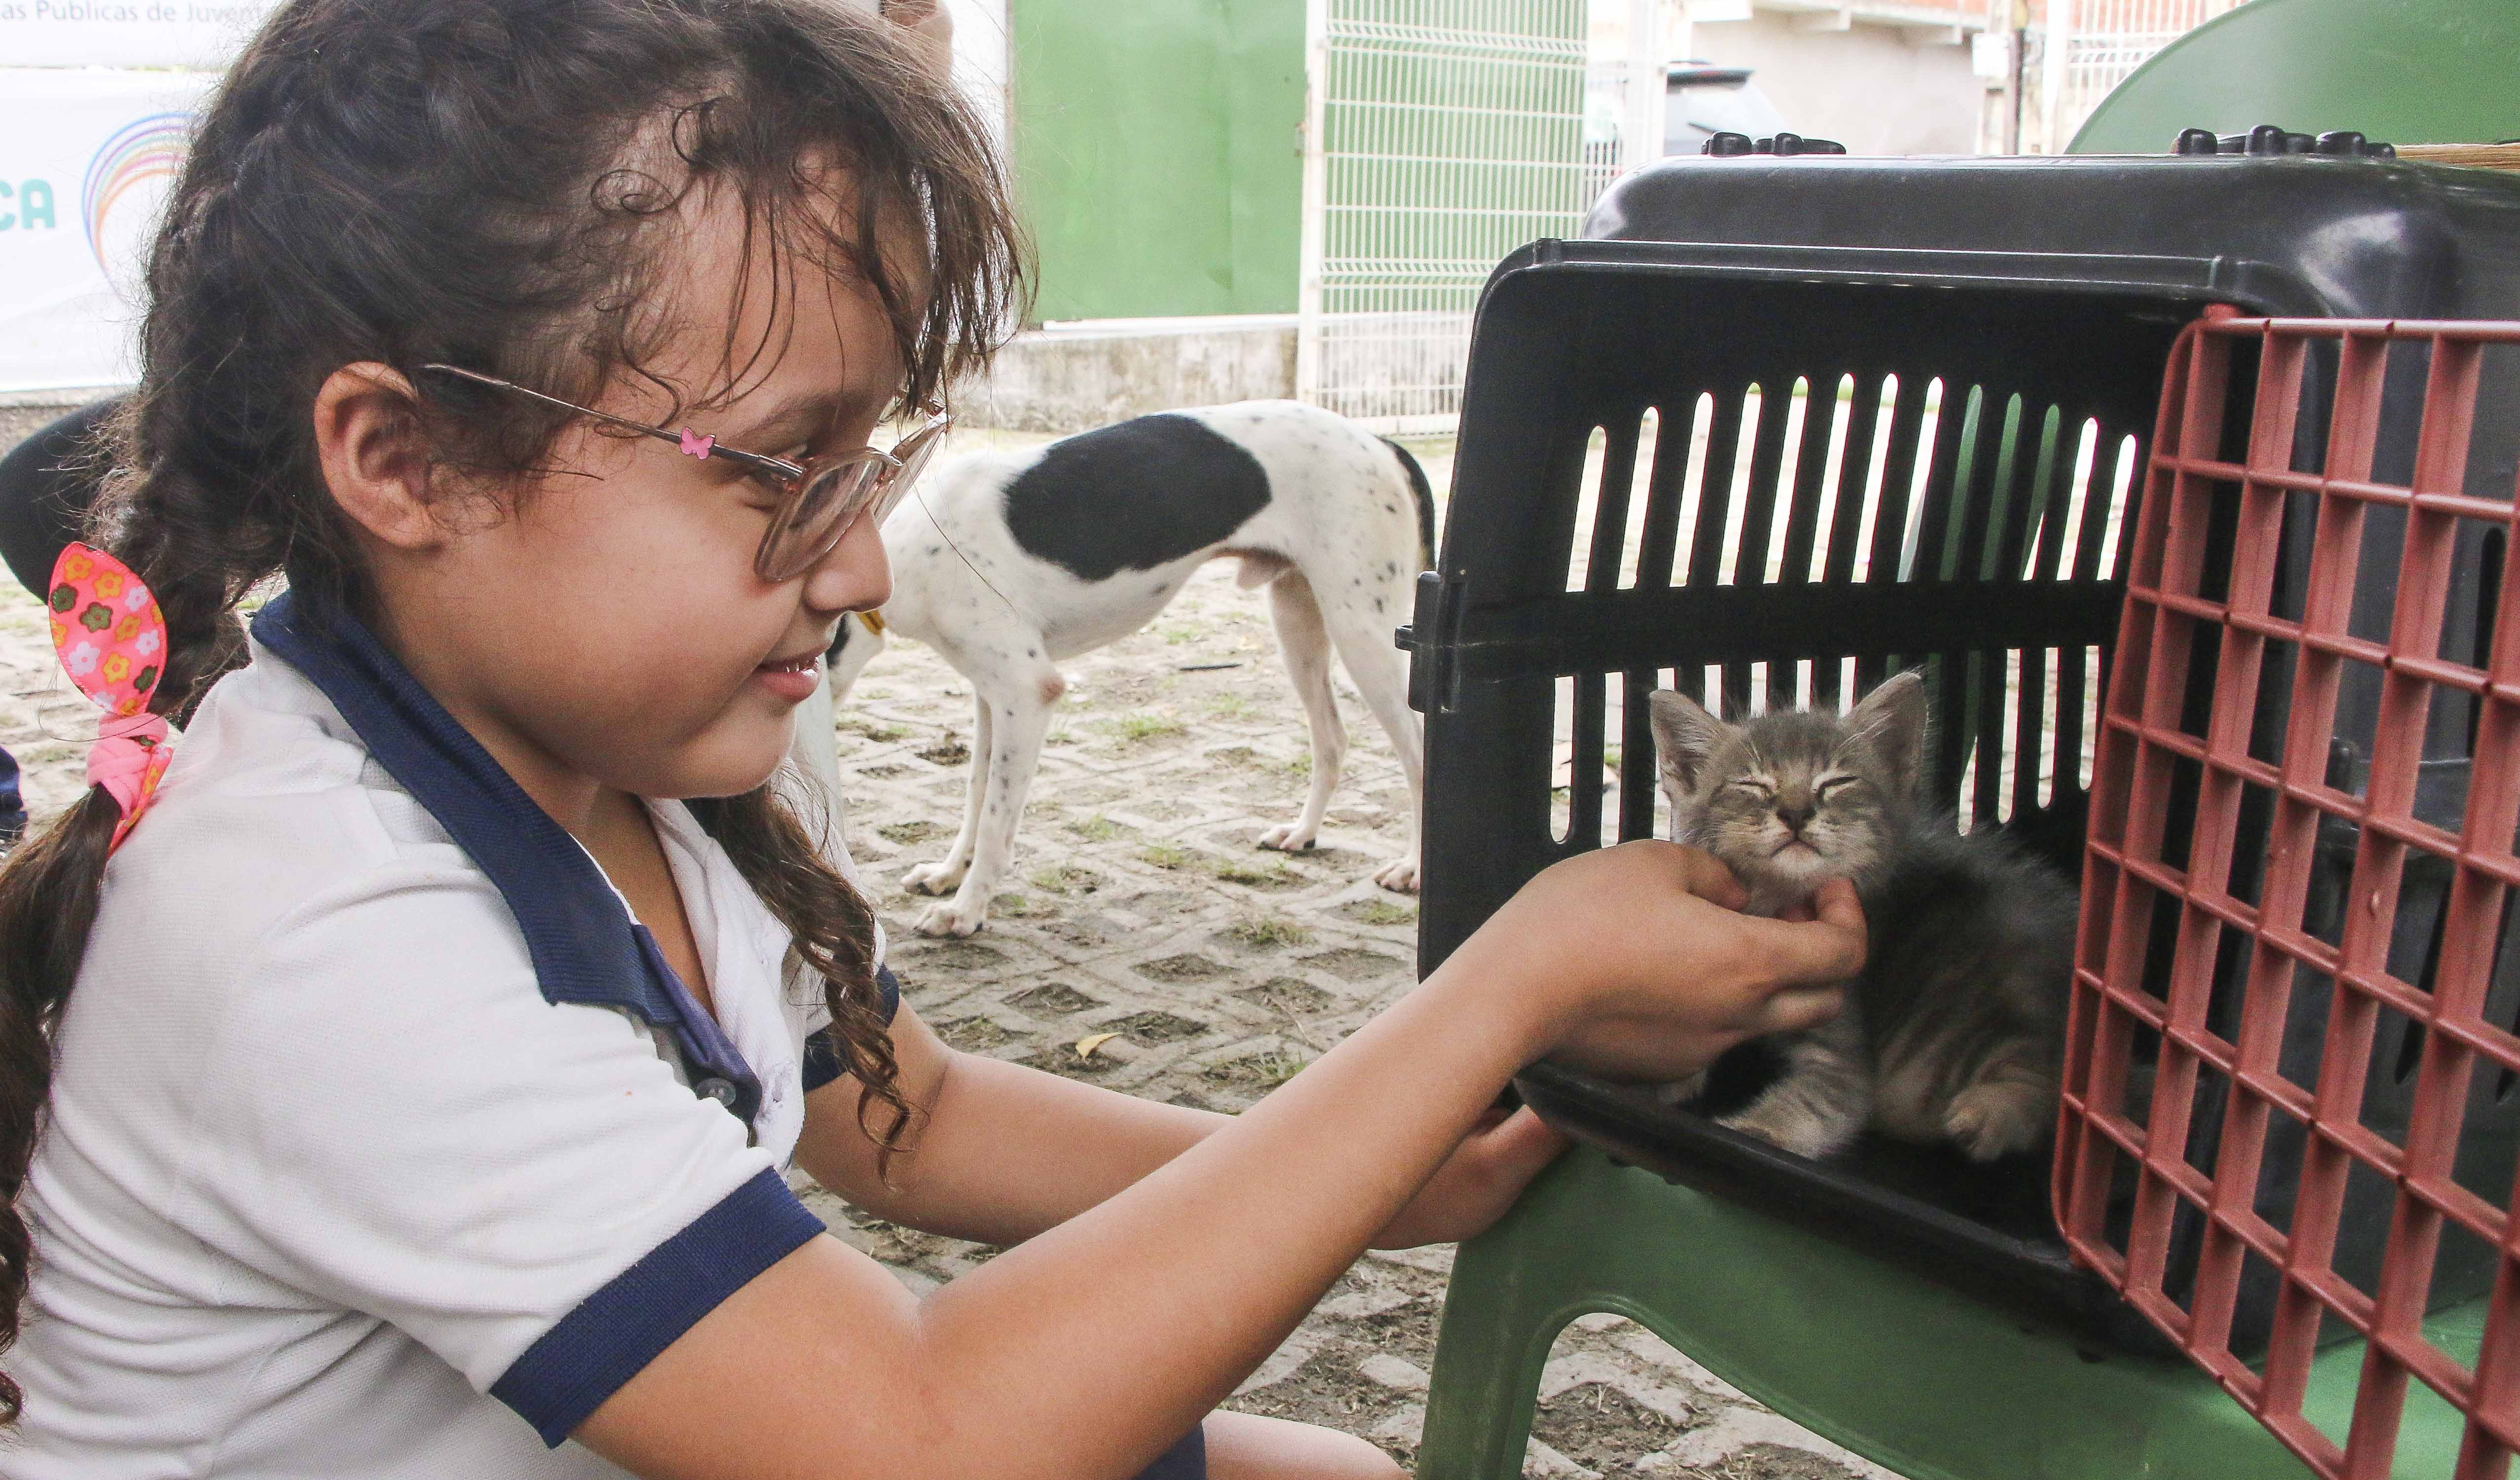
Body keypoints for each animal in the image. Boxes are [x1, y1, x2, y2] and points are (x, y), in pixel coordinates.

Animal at [836, 396, 1441, 938]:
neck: (907, 552)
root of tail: (1379, 442)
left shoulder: (1028, 694)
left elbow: (993, 822)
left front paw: (965, 912)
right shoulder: (991, 696)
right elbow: (977, 796)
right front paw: (947, 875)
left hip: (1364, 635)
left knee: (1418, 754)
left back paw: (1413, 868)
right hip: (1298, 624)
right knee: (1332, 739)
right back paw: (1303, 833)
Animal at [1643, 675, 2076, 1170]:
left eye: (1837, 782)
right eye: (1751, 785)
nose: (1796, 812)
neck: (1778, 903)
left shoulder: (1842, 1048)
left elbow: (1825, 1099)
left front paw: (1758, 1128)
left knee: (2039, 1085)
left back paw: (1988, 1112)